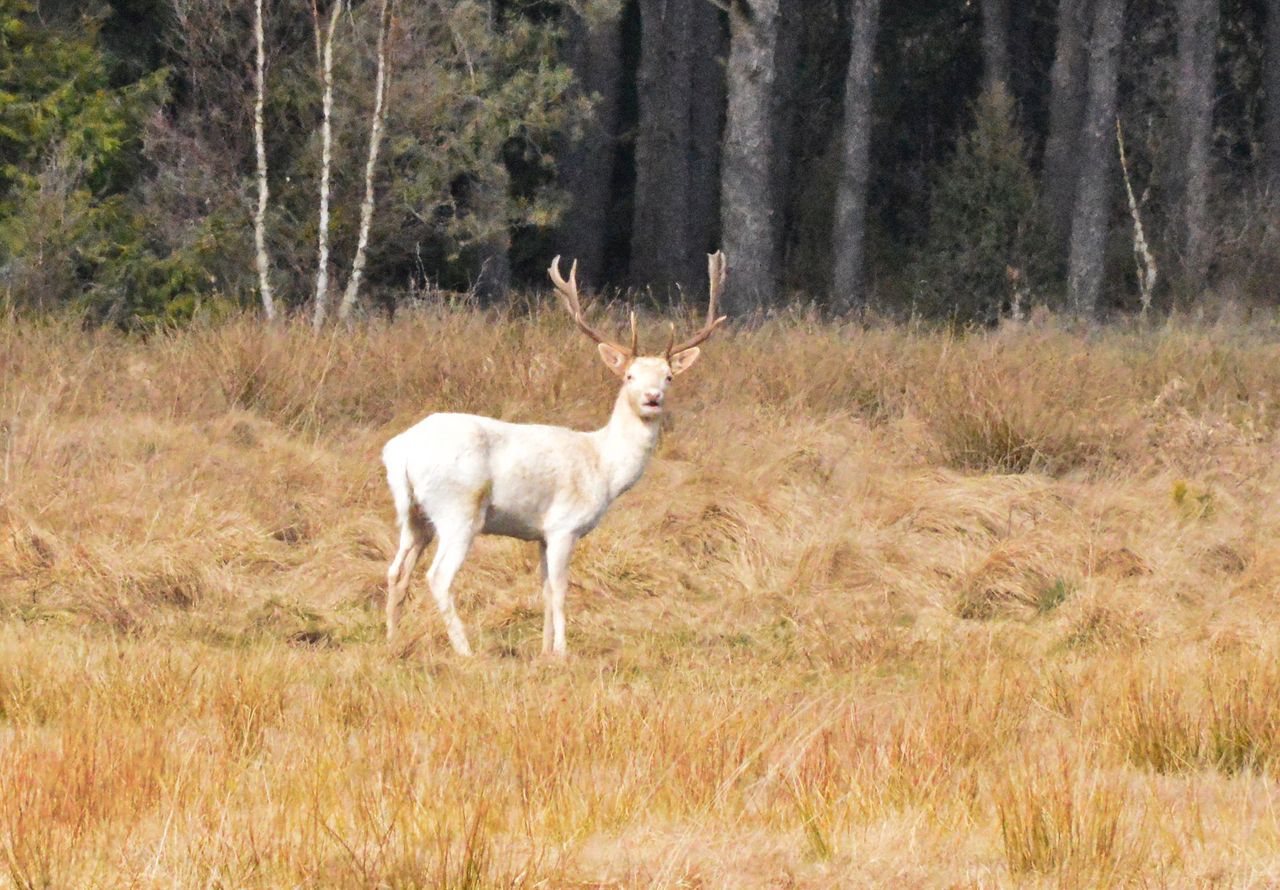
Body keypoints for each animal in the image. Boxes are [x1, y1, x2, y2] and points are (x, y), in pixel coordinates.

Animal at [373, 250, 727, 655]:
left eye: (668, 376)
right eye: (629, 376)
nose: (652, 398)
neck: (604, 468)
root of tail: (399, 450)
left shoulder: (540, 533)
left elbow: (543, 589)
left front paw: (543, 650)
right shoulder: (563, 525)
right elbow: (559, 590)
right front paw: (561, 651)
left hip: (415, 515)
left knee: (396, 571)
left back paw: (392, 641)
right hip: (457, 508)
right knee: (438, 576)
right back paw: (465, 650)